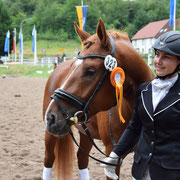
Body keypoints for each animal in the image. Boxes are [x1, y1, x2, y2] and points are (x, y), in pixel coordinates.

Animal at [43, 18, 154, 180]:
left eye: (90, 71)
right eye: (72, 67)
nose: (51, 117)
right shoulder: (111, 154)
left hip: (85, 133)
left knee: (82, 159)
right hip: (50, 136)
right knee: (49, 159)